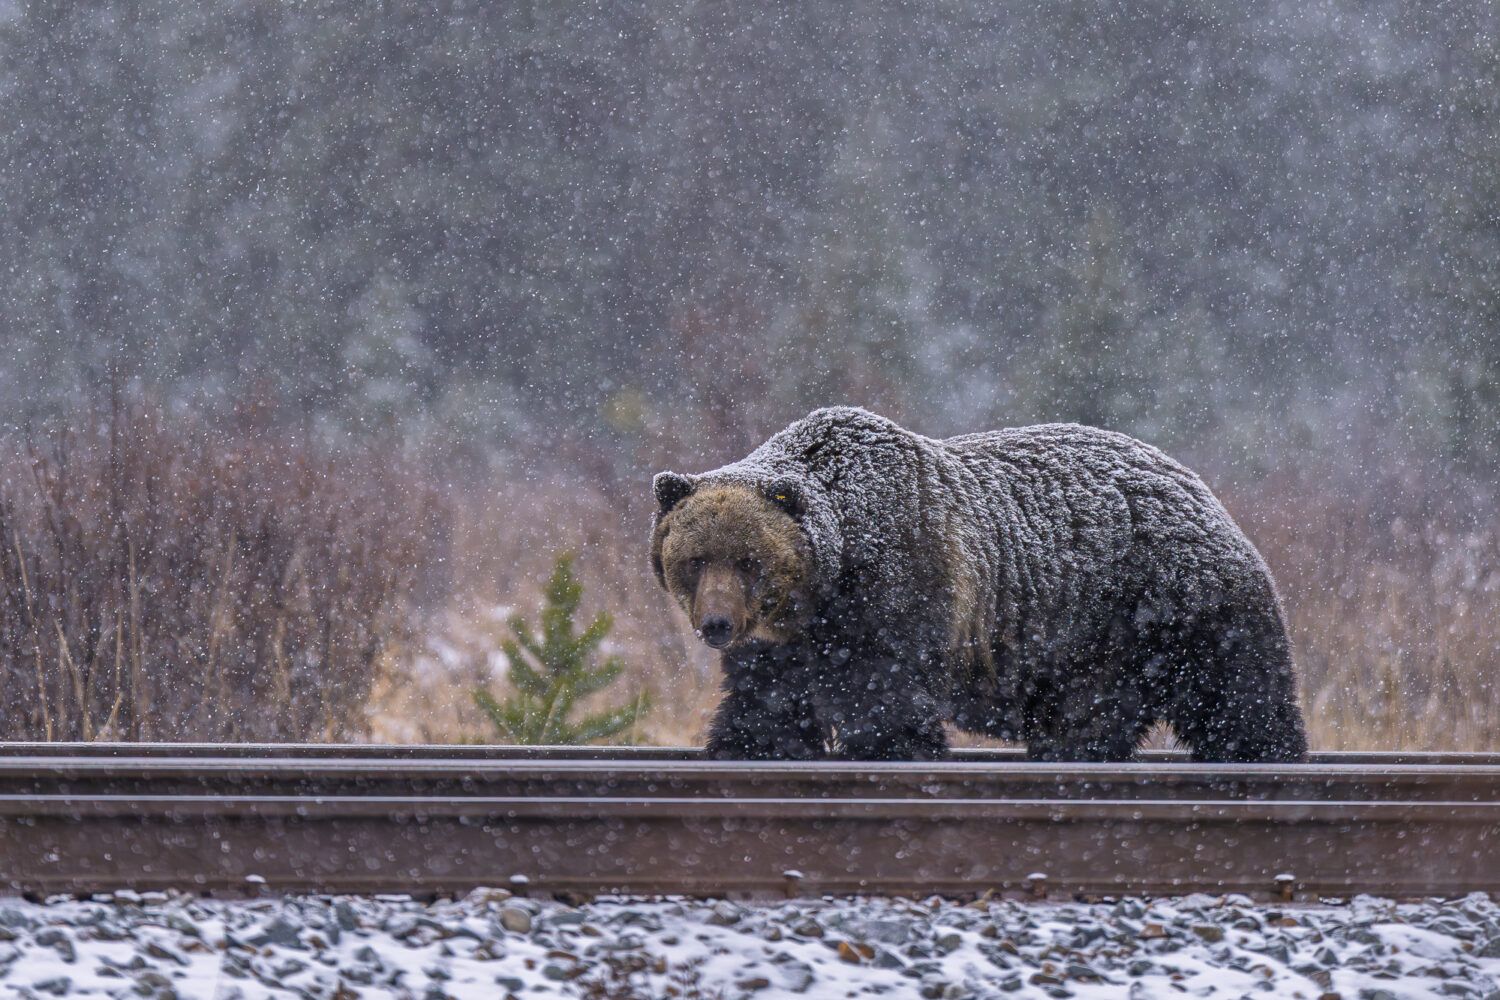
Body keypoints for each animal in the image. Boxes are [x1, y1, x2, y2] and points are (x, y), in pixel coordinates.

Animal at [651, 406, 1308, 763]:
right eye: (695, 559)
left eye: (748, 561)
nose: (716, 624)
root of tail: (1205, 493)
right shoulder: (783, 644)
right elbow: (766, 704)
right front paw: (745, 746)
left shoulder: (900, 583)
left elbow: (885, 696)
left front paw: (893, 746)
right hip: (1102, 647)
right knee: (1091, 716)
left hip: (1166, 603)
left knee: (1237, 692)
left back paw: (1266, 752)